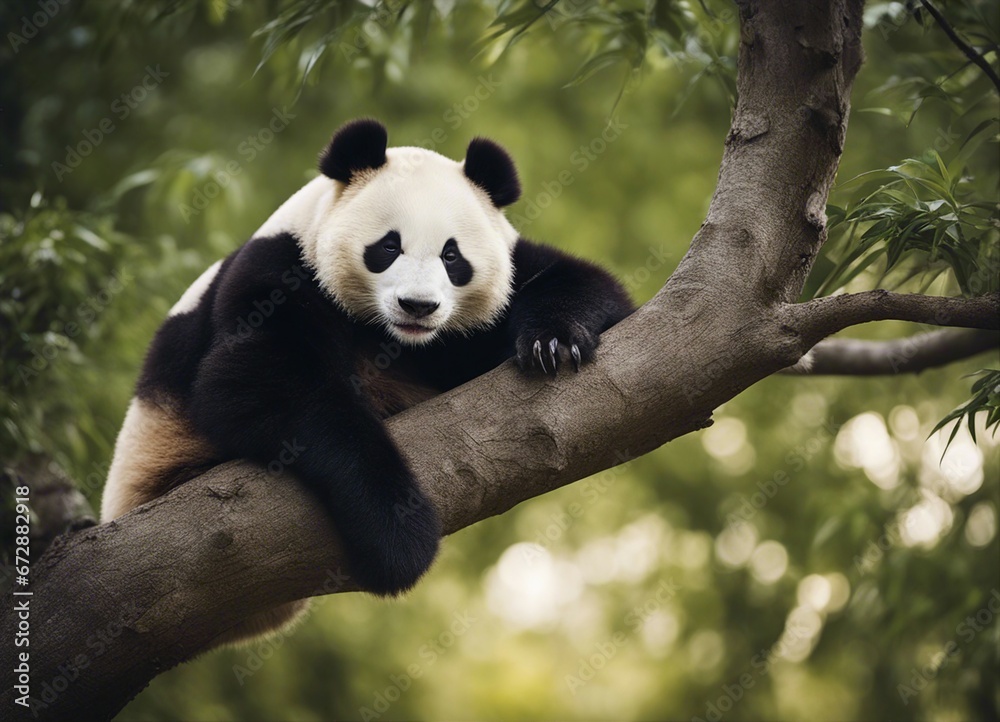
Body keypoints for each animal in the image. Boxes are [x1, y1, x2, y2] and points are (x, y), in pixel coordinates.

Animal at [101, 118, 634, 645]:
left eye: (452, 256)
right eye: (388, 246)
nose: (418, 306)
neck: (395, 338)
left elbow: (585, 284)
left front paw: (554, 342)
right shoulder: (280, 271)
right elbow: (254, 383)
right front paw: (401, 536)